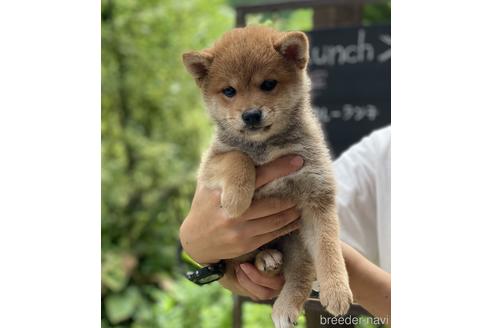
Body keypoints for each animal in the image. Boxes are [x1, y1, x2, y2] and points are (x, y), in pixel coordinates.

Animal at [183, 26, 352, 328]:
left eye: (269, 84)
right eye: (229, 91)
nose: (251, 115)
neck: (267, 147)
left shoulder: (317, 195)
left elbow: (328, 248)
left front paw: (337, 289)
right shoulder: (210, 165)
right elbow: (238, 158)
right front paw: (237, 200)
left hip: (296, 241)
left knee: (300, 273)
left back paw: (284, 301)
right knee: (241, 262)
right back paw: (266, 258)